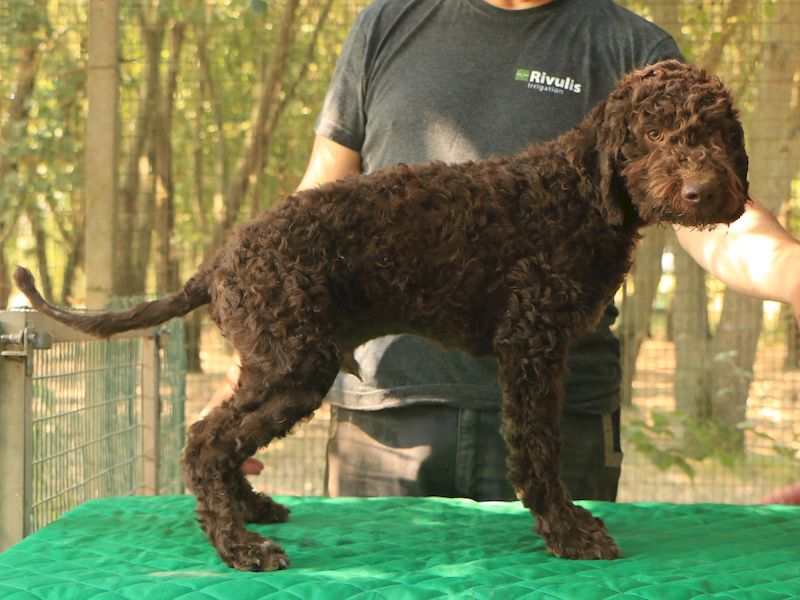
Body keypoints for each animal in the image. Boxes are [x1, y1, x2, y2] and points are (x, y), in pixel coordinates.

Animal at [14, 61, 752, 572]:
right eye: (652, 133)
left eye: (717, 133)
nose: (702, 190)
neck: (573, 191)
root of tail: (223, 257)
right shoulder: (531, 346)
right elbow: (539, 449)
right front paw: (568, 530)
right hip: (294, 364)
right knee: (204, 442)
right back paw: (240, 546)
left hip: (278, 365)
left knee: (220, 443)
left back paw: (251, 510)